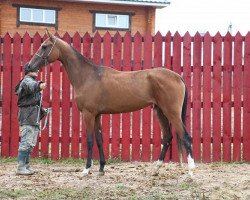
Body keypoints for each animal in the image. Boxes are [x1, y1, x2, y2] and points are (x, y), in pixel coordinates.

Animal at [27, 29, 195, 177]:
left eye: (44, 46)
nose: (28, 66)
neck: (88, 76)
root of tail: (178, 77)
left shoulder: (88, 114)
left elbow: (89, 141)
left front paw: (86, 170)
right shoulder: (97, 115)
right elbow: (100, 140)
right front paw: (101, 168)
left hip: (172, 113)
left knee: (186, 137)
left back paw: (191, 172)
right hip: (160, 111)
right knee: (168, 137)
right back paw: (155, 169)